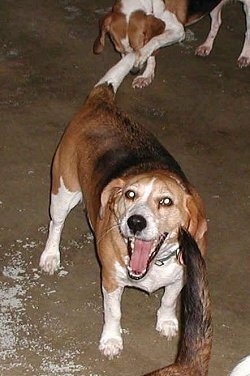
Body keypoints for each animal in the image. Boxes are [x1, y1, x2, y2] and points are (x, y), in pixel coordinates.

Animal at [39, 53, 207, 358]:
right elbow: (114, 313)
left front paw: (167, 322)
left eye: (166, 201)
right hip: (63, 191)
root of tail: (101, 101)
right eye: (130, 194)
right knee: (56, 224)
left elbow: (169, 299)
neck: (153, 263)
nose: (135, 222)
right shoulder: (111, 280)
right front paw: (111, 340)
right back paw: (50, 256)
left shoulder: (182, 276)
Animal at [93, 0, 250, 88]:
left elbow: (153, 42)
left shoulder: (178, 31)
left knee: (248, 32)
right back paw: (207, 46)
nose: (133, 71)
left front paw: (143, 62)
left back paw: (245, 56)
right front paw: (147, 76)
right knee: (216, 22)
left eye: (139, 47)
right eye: (119, 50)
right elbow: (152, 53)